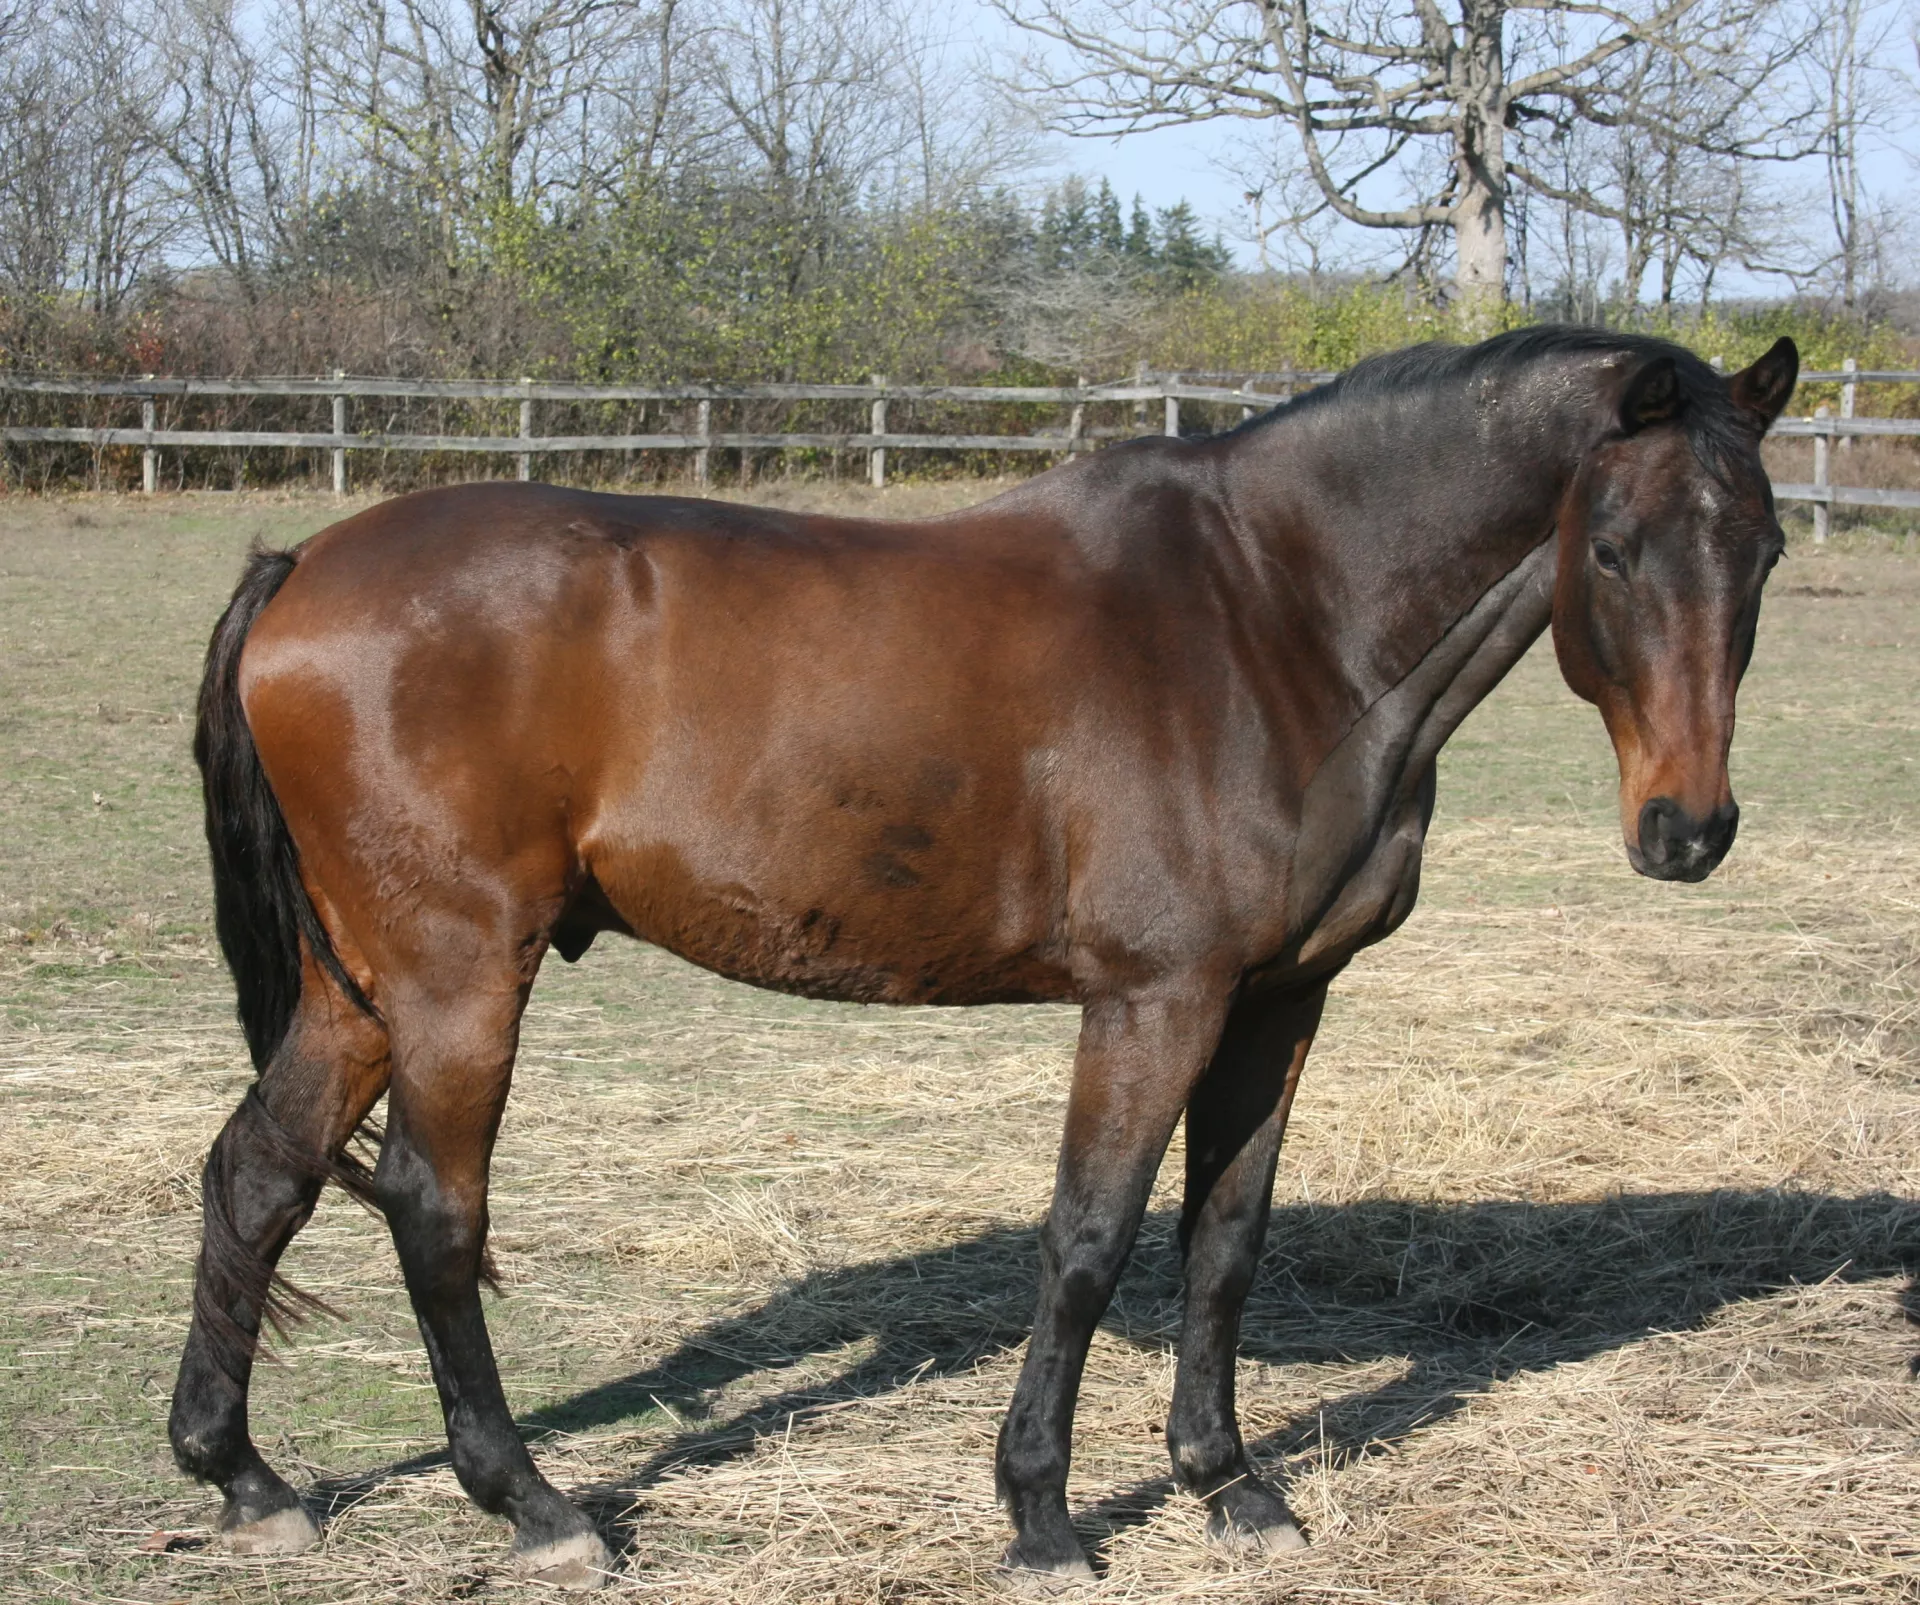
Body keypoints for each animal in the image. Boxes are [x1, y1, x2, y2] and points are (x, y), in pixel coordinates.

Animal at [168, 322, 1797, 1581]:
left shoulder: (1278, 1000)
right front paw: (1042, 1517)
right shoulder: (1154, 1003)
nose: (1688, 829)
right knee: (433, 1213)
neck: (1273, 619)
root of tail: (306, 564)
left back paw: (246, 1480)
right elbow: (1088, 1242)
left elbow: (1225, 1241)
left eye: (1767, 550)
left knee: (259, 1174)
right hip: (457, 981)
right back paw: (540, 1510)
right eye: (1613, 548)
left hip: (362, 989)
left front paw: (1230, 1487)